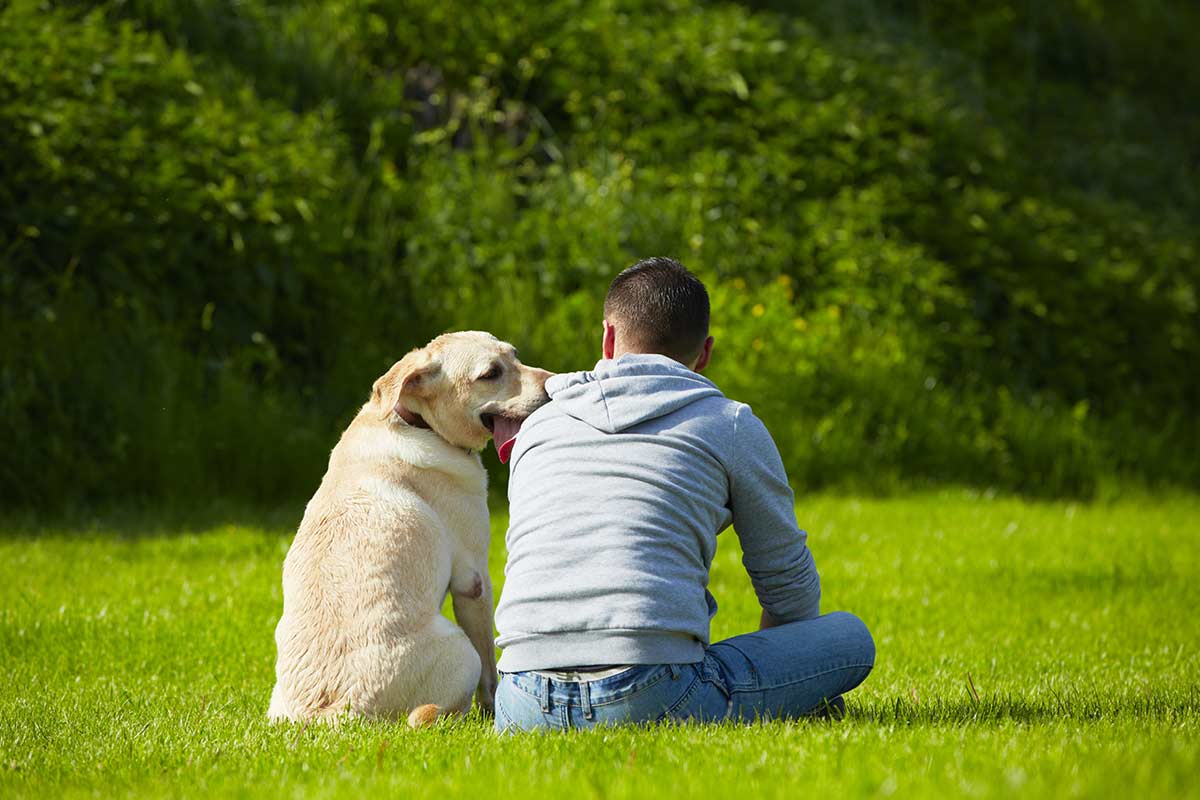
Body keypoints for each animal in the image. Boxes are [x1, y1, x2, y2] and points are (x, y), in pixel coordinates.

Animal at [270, 331, 549, 724]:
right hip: (461, 650)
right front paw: (494, 708)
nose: (554, 383)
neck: (417, 422)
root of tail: (332, 711)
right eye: (491, 374)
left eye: (515, 356)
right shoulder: (474, 581)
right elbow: (491, 670)